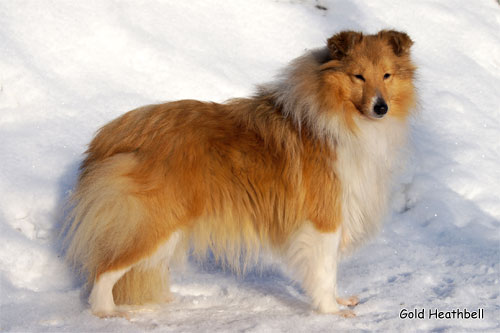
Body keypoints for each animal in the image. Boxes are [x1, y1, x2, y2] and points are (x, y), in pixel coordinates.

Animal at [64, 29, 418, 318]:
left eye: (387, 75)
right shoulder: (324, 218)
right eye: (358, 76)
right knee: (104, 271)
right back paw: (108, 312)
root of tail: (114, 132)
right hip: (153, 222)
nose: (381, 108)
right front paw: (332, 311)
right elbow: (325, 270)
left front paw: (339, 301)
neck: (340, 114)